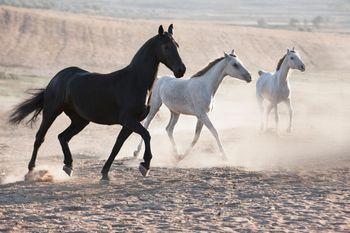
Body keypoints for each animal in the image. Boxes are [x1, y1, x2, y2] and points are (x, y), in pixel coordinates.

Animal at [8, 24, 186, 180]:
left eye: (177, 45)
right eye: (166, 47)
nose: (181, 70)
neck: (135, 81)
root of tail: (57, 78)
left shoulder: (129, 123)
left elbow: (117, 146)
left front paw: (105, 173)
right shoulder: (128, 120)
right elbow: (147, 135)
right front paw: (145, 166)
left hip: (80, 120)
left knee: (63, 137)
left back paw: (68, 166)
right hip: (52, 112)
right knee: (40, 137)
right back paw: (31, 171)